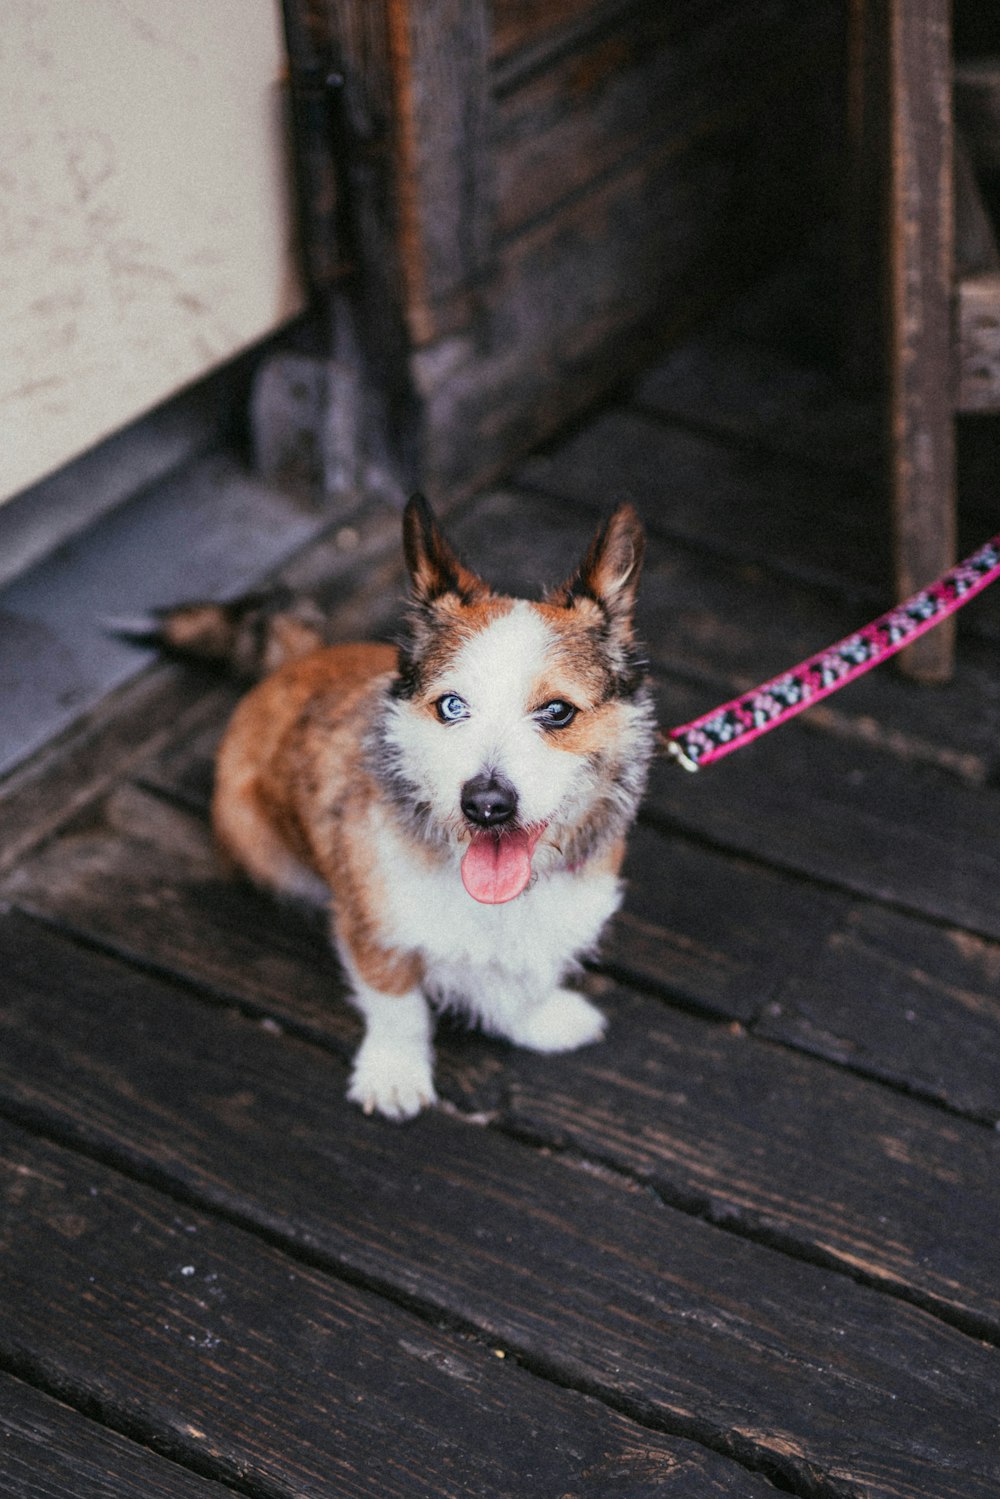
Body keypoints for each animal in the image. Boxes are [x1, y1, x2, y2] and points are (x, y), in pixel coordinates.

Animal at [144, 497, 656, 1121]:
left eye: (558, 711)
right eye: (452, 706)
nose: (486, 805)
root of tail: (293, 662)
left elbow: (525, 976)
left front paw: (537, 1019)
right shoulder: (375, 928)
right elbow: (396, 1003)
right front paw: (394, 1072)